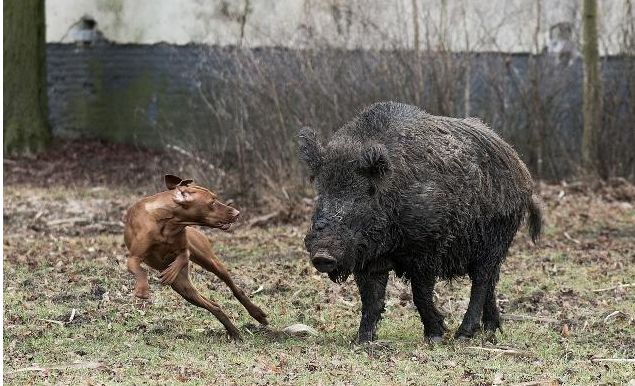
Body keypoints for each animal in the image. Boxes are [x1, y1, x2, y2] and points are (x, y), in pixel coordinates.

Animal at [123, 173, 268, 340]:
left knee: (235, 288)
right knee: (214, 306)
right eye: (212, 202)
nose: (237, 213)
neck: (168, 222)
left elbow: (182, 256)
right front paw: (142, 290)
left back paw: (256, 314)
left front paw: (170, 271)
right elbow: (140, 270)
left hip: (211, 262)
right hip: (183, 288)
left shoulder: (184, 248)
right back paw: (234, 332)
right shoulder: (133, 258)